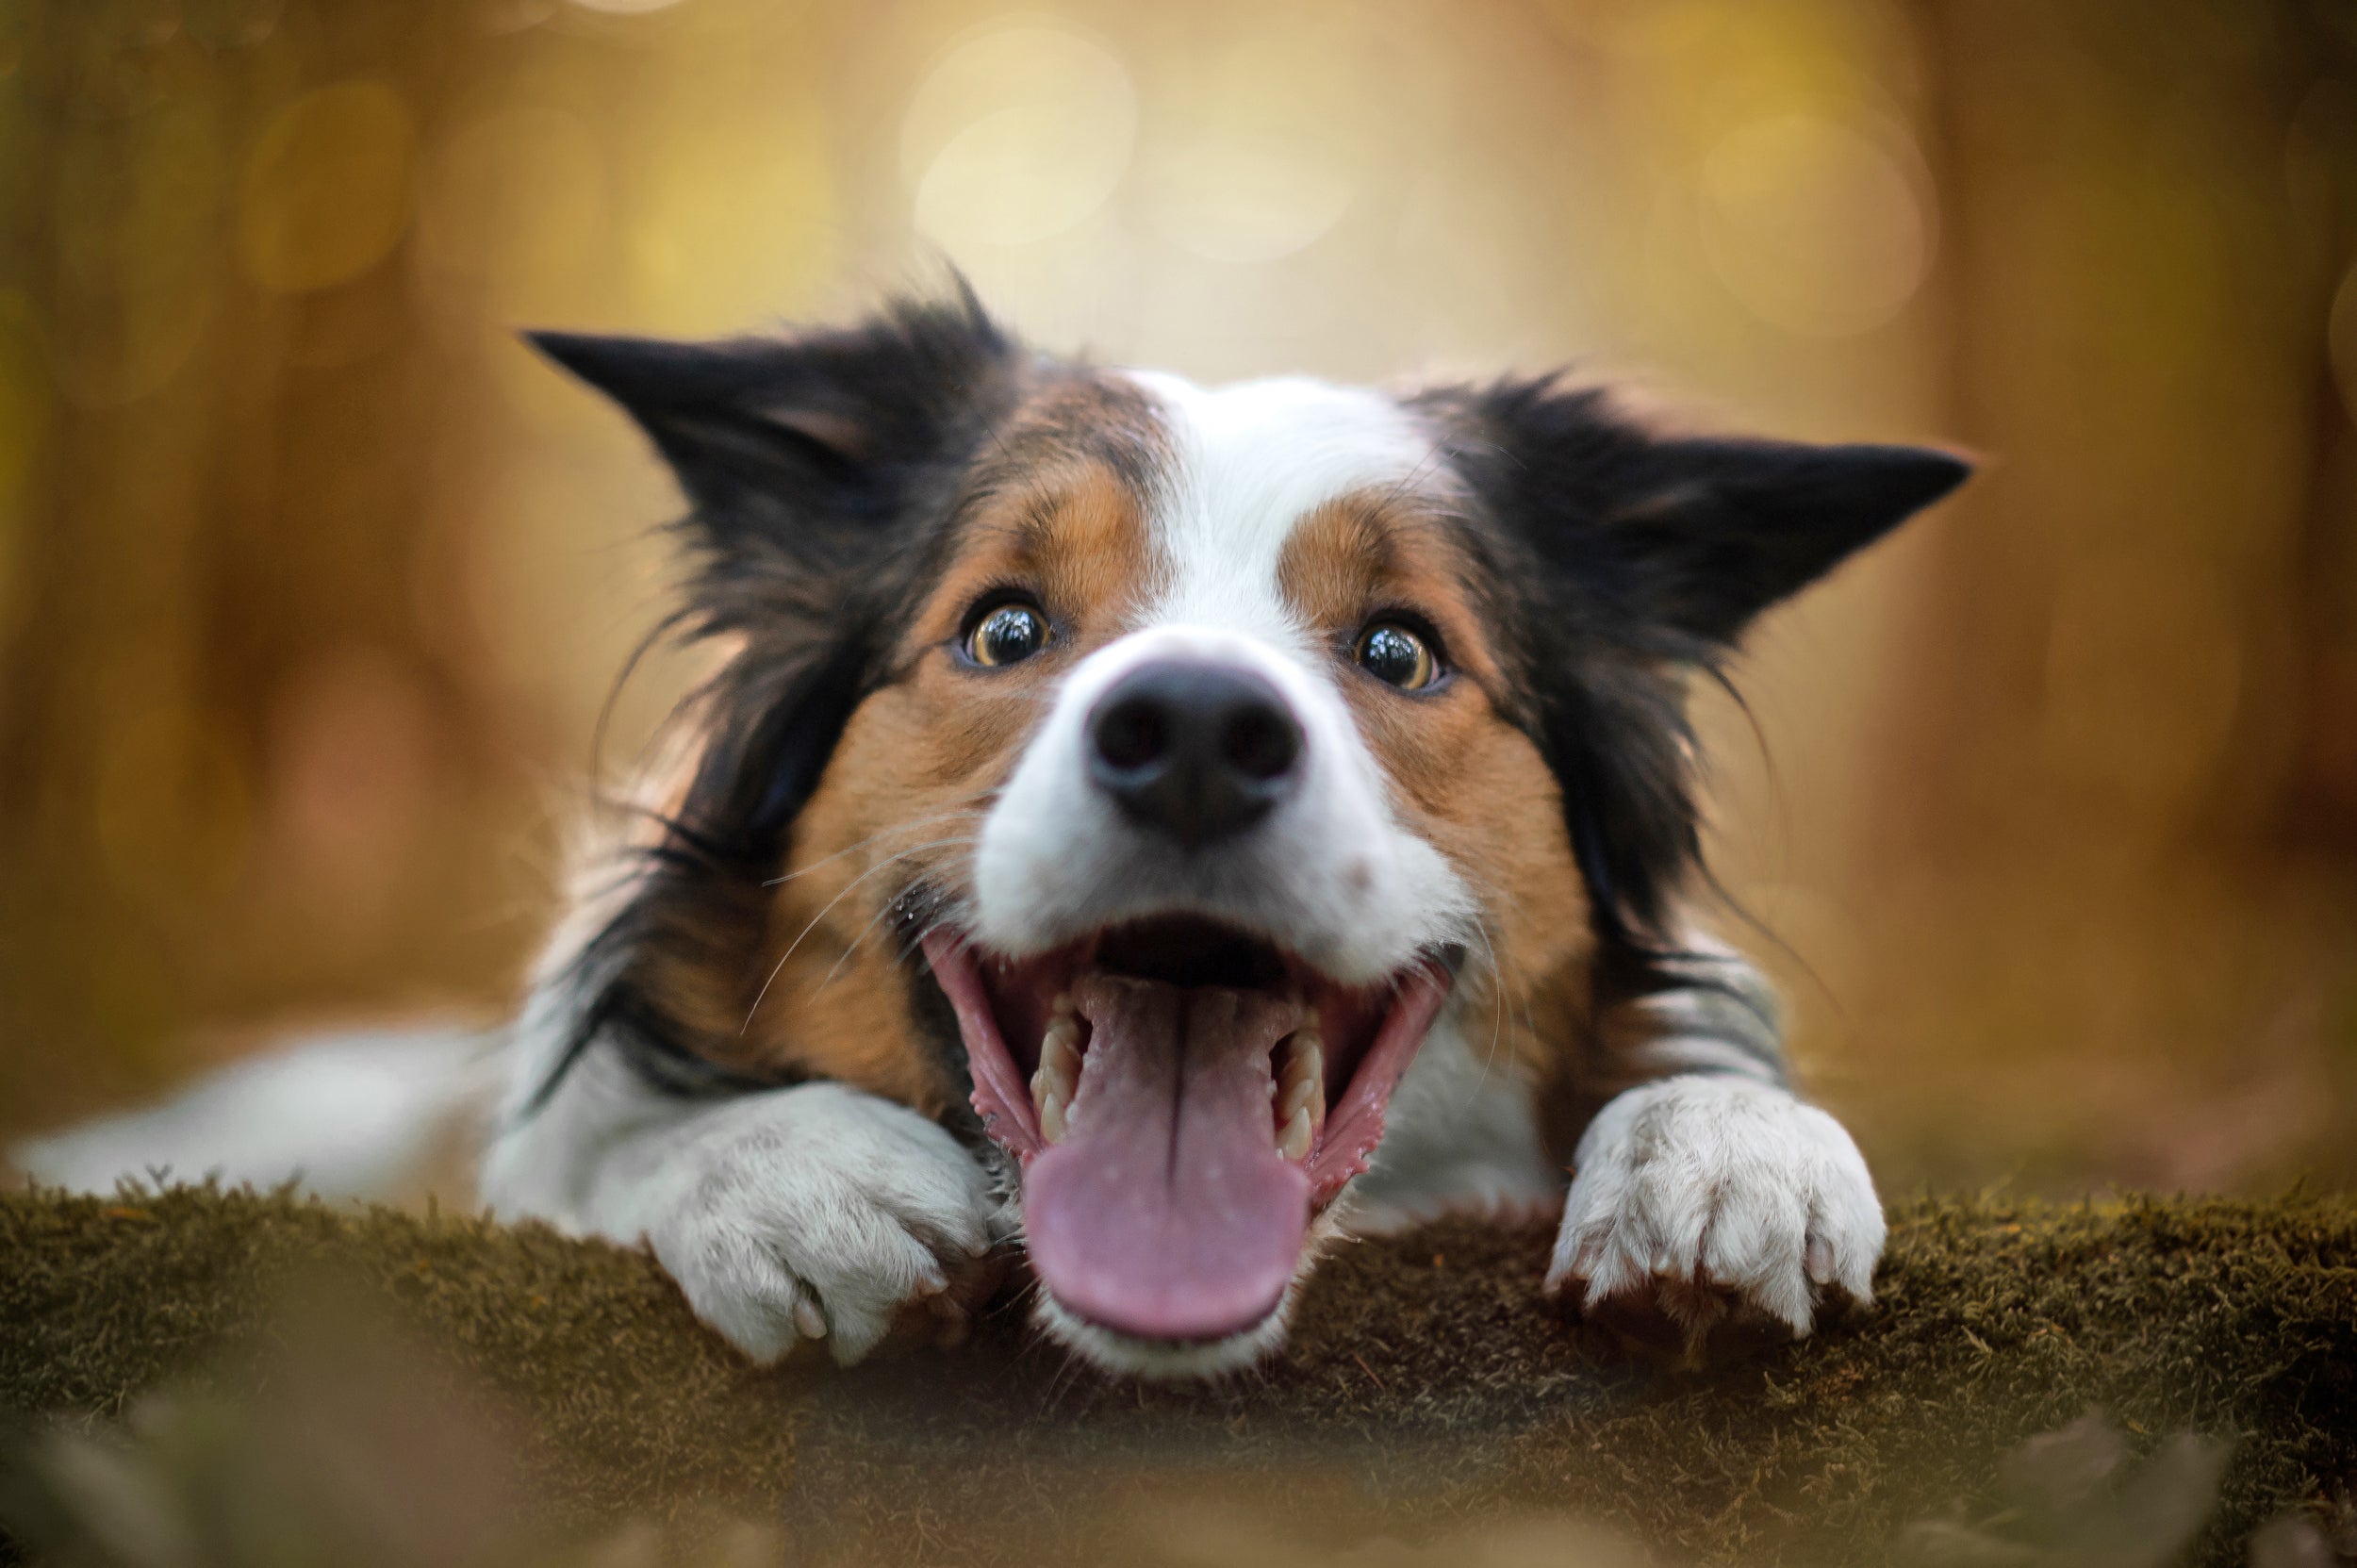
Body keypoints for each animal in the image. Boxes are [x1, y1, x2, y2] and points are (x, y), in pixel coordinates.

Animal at [18, 284, 1970, 1386]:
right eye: (1007, 625)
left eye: (1403, 650)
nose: (1195, 738)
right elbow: (601, 1146)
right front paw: (777, 1166)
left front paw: (1728, 1138)